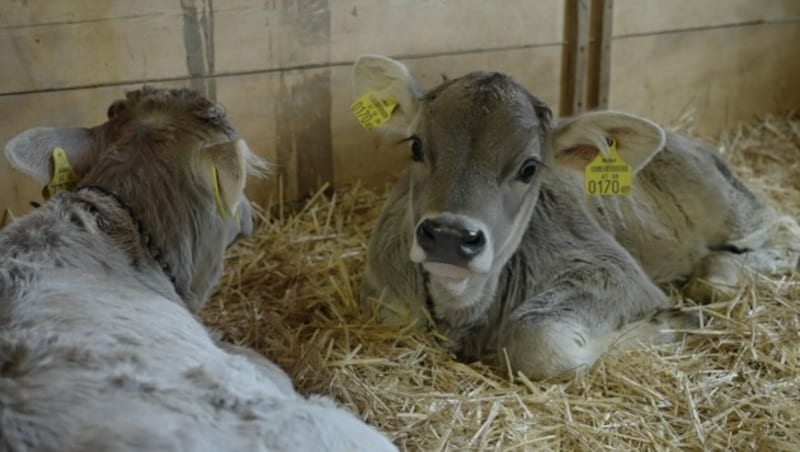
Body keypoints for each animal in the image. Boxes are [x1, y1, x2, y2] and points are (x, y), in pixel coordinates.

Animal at [356, 54, 800, 380]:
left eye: (530, 168)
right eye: (415, 146)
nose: (450, 236)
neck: (465, 311)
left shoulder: (618, 276)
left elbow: (537, 345)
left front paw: (670, 321)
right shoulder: (387, 296)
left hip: (728, 207)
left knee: (781, 230)